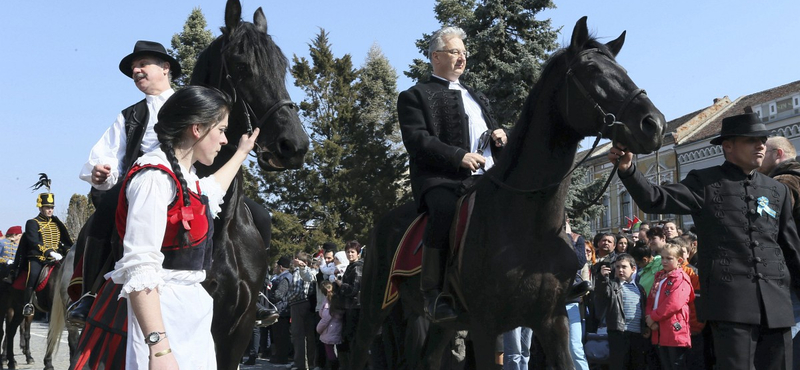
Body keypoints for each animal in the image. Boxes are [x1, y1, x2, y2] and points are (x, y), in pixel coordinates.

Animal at [354, 15, 664, 368]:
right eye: (592, 71)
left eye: (622, 70)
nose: (654, 124)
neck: (527, 221)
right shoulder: (485, 327)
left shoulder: (553, 320)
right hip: (375, 310)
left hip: (437, 324)